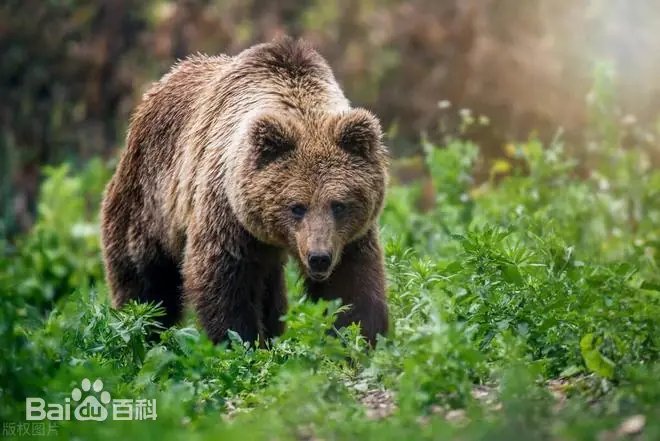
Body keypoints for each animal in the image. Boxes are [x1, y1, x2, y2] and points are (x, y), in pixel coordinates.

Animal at [100, 37, 389, 346]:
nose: (318, 257)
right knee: (146, 277)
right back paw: (140, 327)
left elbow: (351, 284)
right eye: (297, 206)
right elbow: (222, 282)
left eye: (338, 205)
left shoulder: (348, 238)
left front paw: (360, 338)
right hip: (149, 199)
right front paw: (243, 341)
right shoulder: (227, 212)